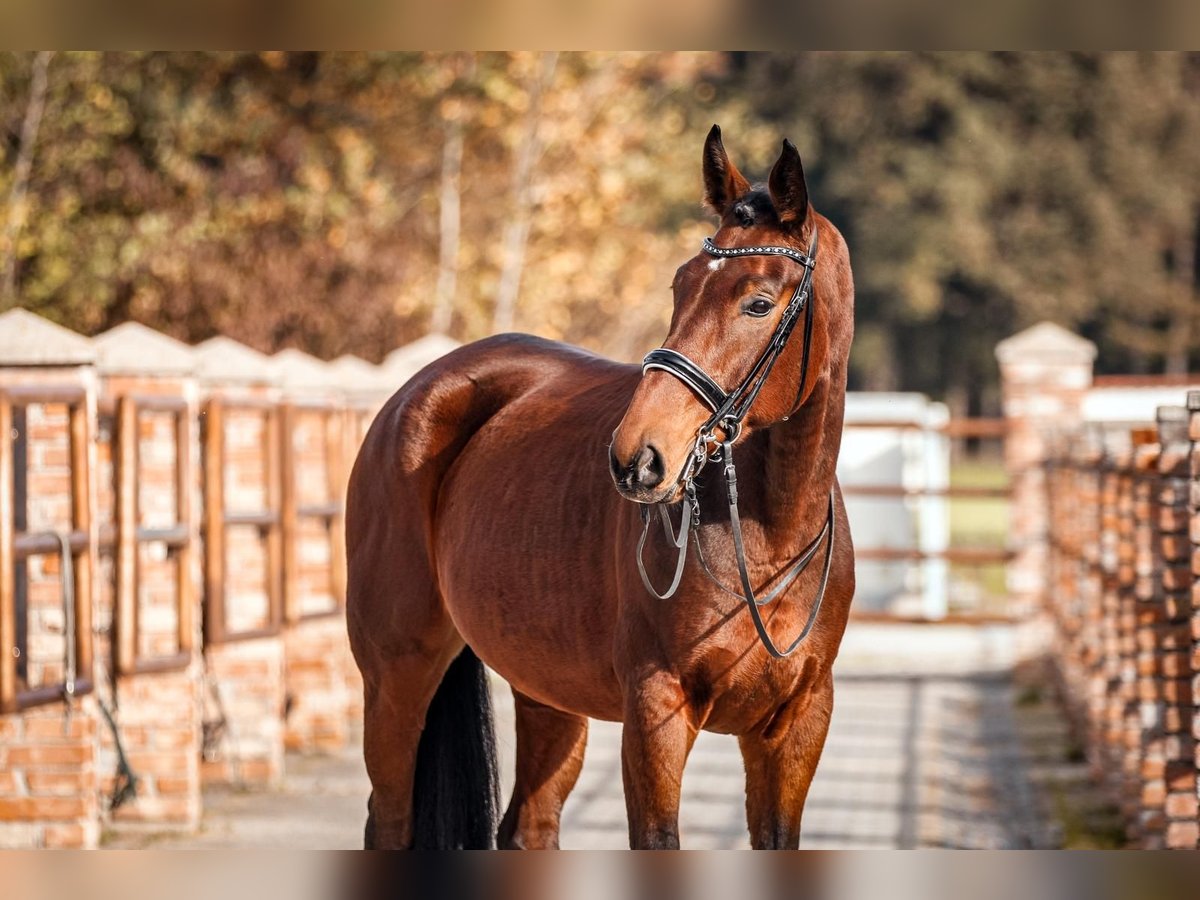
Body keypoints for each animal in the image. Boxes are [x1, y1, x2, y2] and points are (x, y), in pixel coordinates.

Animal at [345, 127, 854, 854]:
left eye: (758, 301)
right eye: (680, 284)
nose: (637, 457)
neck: (769, 535)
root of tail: (416, 392)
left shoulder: (797, 726)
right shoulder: (655, 711)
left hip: (545, 688)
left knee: (528, 826)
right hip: (396, 676)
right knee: (388, 819)